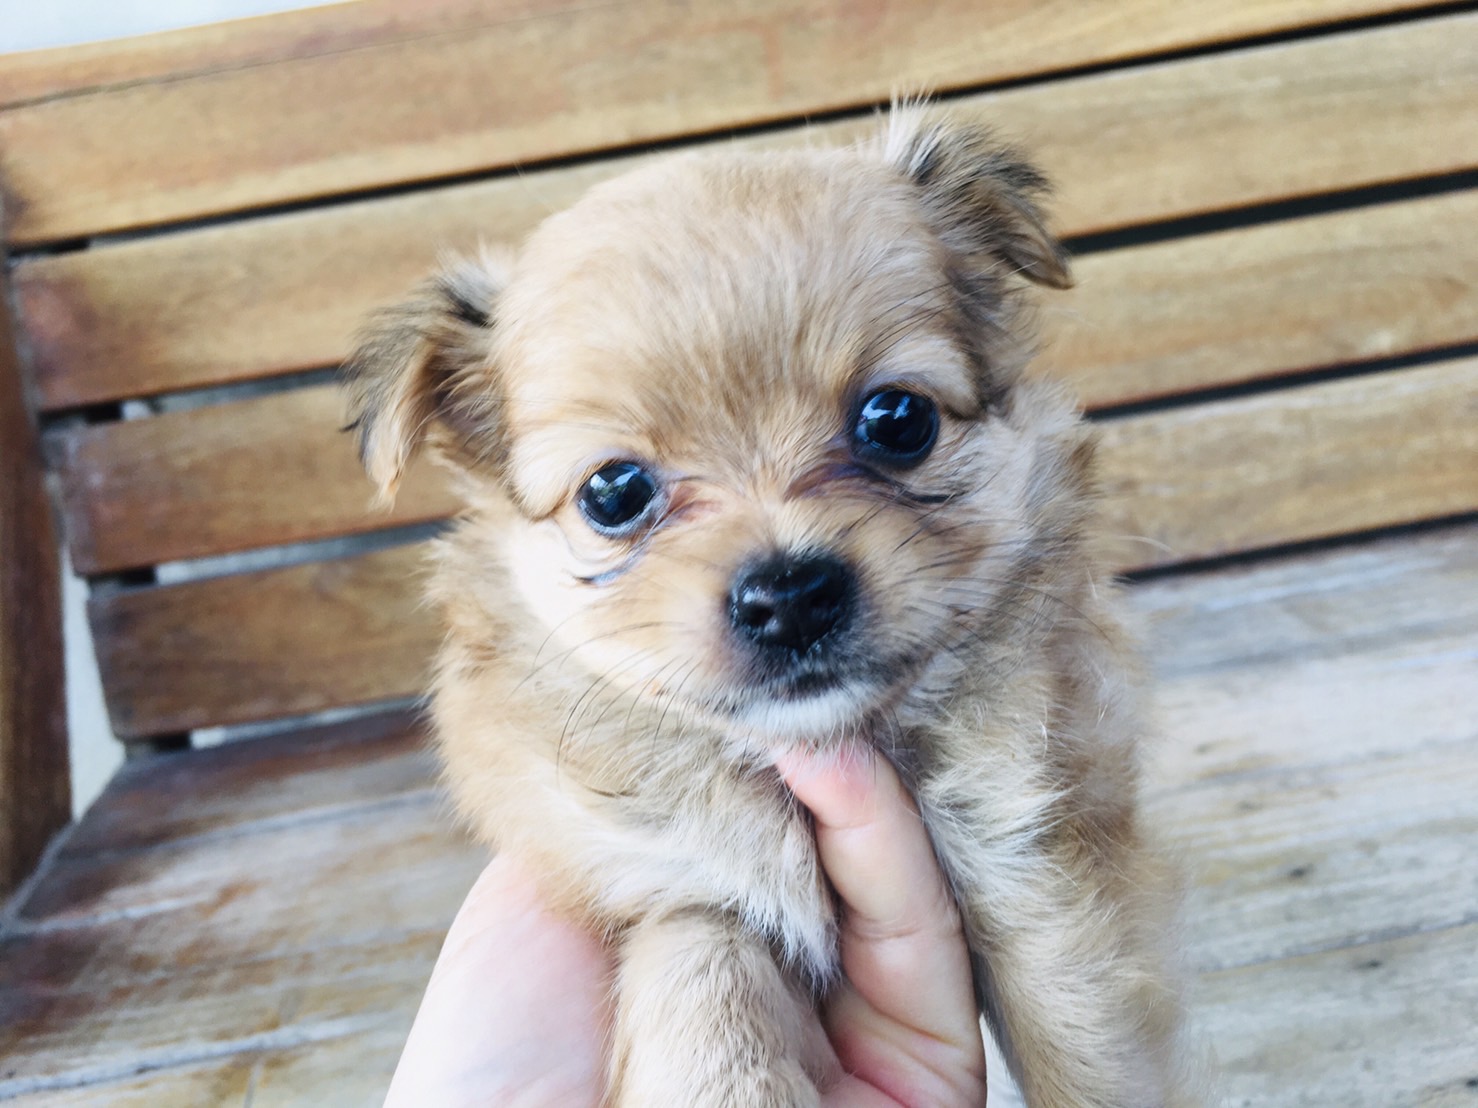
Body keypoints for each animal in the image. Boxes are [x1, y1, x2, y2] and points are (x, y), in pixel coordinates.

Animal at [344, 106, 1198, 1106]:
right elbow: (705, 981)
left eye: (897, 419)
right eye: (613, 492)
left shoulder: (1034, 856)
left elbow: (1083, 1041)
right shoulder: (682, 881)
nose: (789, 597)